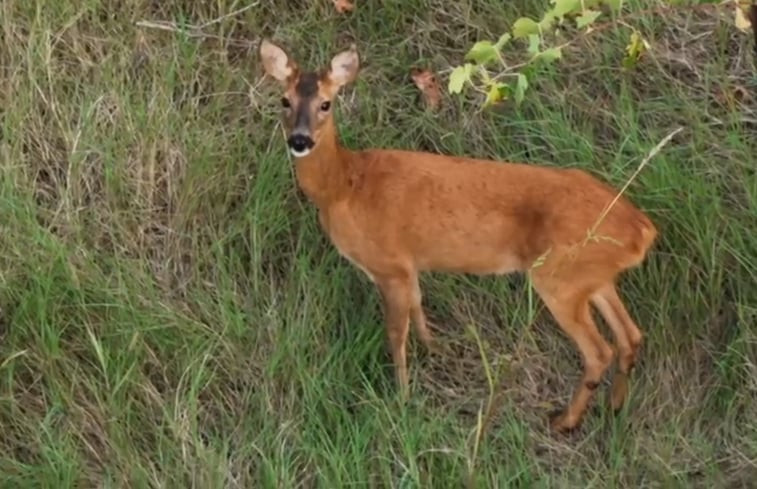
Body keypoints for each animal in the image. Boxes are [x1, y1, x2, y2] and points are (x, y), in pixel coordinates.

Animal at [258, 40, 656, 432]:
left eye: (326, 103)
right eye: (284, 100)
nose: (299, 140)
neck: (344, 187)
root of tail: (642, 229)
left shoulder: (389, 265)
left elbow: (396, 332)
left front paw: (402, 399)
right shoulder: (409, 265)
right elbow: (418, 307)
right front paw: (436, 349)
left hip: (559, 278)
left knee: (600, 350)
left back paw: (564, 421)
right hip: (591, 278)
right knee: (630, 335)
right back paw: (615, 406)